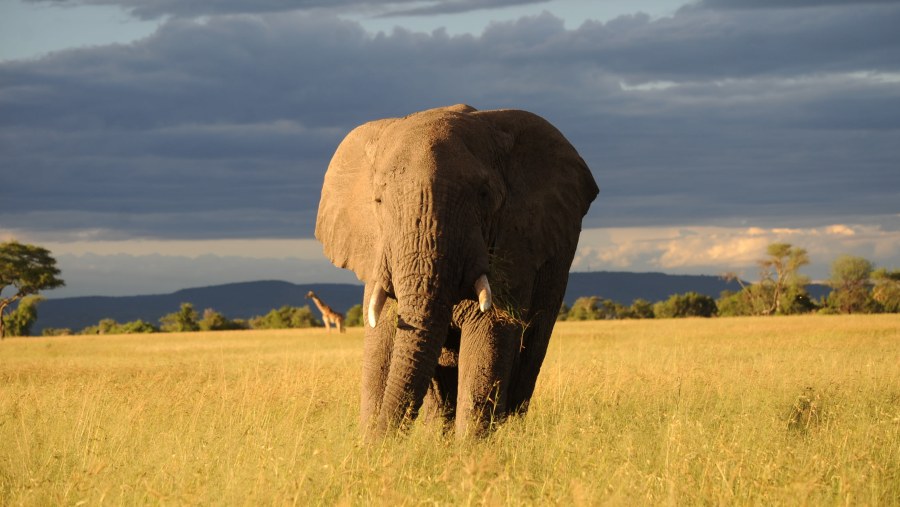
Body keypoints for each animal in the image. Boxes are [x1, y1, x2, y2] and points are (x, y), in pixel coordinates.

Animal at [312, 104, 600, 440]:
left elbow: (489, 333)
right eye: (378, 200)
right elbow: (380, 336)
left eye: (484, 195)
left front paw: (470, 449)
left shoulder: (514, 242)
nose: (385, 442)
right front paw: (373, 444)